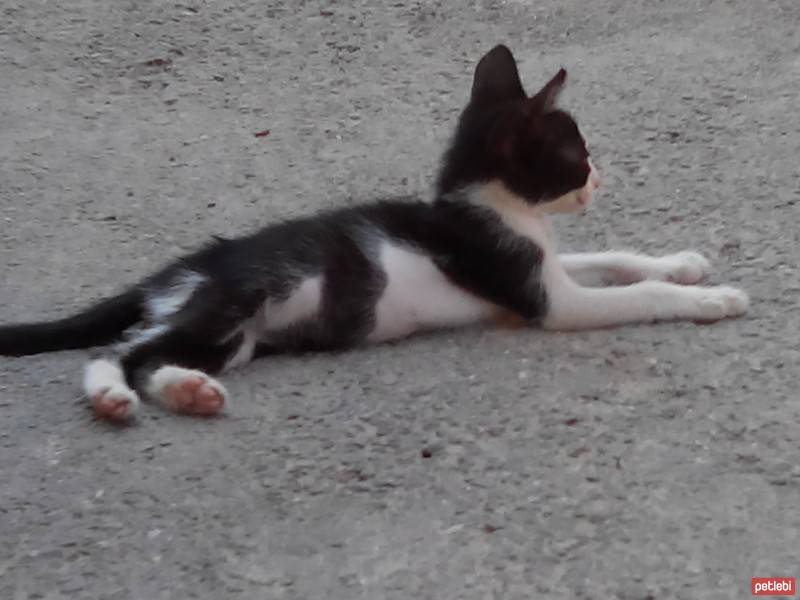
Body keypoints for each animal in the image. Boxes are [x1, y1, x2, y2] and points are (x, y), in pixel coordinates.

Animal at [0, 44, 752, 422]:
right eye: (579, 155)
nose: (602, 178)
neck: (499, 209)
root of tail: (185, 267)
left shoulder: (545, 266)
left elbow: (612, 256)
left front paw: (682, 261)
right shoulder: (546, 298)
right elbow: (633, 296)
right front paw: (706, 299)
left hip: (234, 339)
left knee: (151, 354)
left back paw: (187, 391)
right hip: (232, 303)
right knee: (121, 350)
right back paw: (112, 396)